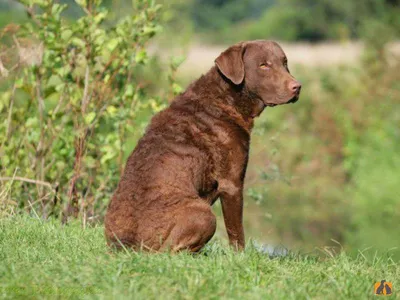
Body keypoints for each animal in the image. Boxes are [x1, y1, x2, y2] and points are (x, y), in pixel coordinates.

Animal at [104, 39, 302, 251]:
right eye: (263, 65)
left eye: (284, 62)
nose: (297, 87)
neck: (225, 99)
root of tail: (124, 245)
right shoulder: (231, 183)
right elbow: (236, 231)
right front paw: (240, 255)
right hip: (203, 214)